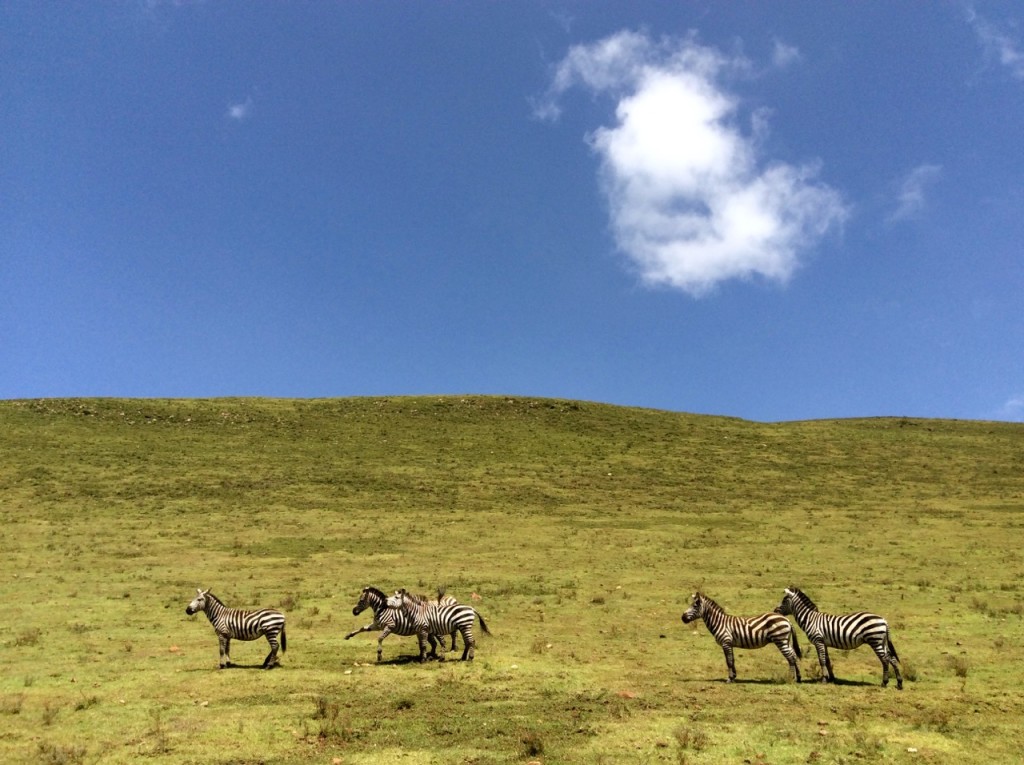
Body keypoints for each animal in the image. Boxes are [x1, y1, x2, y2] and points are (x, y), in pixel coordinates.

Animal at [774, 589, 905, 692]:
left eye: (784, 601)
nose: (775, 611)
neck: (810, 619)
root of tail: (884, 620)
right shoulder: (824, 643)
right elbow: (827, 660)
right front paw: (831, 678)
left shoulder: (818, 640)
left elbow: (821, 660)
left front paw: (824, 679)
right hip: (882, 641)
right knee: (892, 658)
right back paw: (899, 683)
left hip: (875, 640)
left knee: (885, 660)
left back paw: (884, 683)